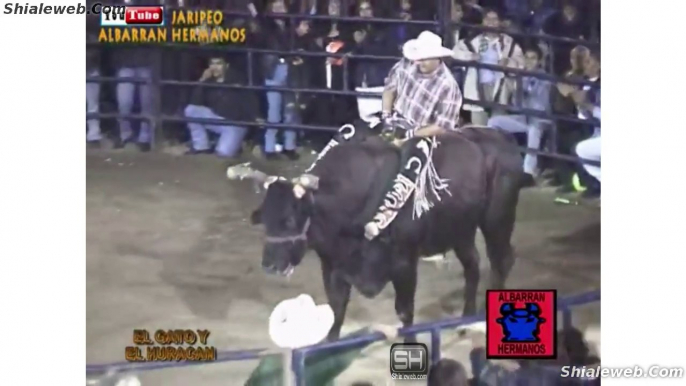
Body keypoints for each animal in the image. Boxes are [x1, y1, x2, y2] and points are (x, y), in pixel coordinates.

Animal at [228, 120, 524, 340]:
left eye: (290, 219)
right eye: (265, 219)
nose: (270, 265)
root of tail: (501, 139)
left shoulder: (405, 264)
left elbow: (405, 313)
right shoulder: (333, 265)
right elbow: (336, 309)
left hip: (497, 220)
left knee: (501, 261)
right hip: (461, 230)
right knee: (473, 265)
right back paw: (466, 319)